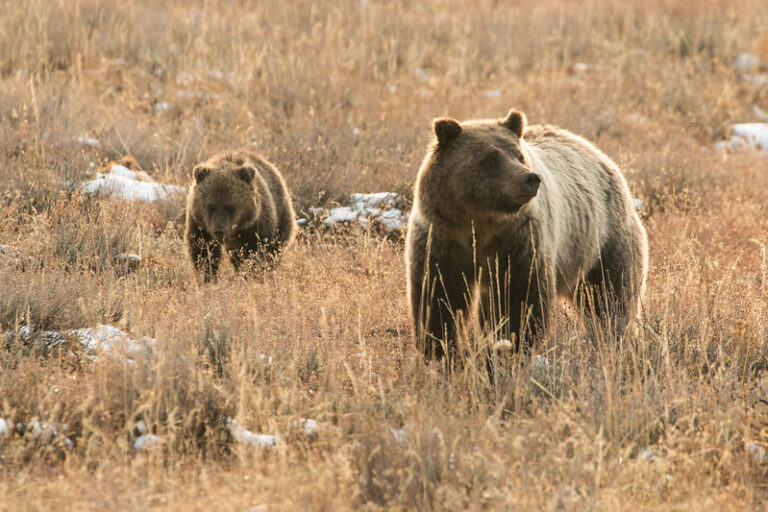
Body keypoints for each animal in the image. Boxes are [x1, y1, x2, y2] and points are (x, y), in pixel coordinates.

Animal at [185, 151, 297, 280]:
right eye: (210, 206)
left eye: (231, 206)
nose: (219, 230)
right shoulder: (200, 224)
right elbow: (203, 252)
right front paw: (207, 276)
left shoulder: (255, 228)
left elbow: (253, 253)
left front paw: (249, 274)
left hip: (281, 218)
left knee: (274, 251)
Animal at [406, 108, 648, 362]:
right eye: (491, 158)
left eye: (518, 155)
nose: (530, 178)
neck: (479, 223)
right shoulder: (442, 239)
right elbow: (438, 296)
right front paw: (440, 350)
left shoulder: (517, 242)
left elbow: (518, 299)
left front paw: (507, 347)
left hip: (602, 241)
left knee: (610, 297)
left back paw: (611, 341)